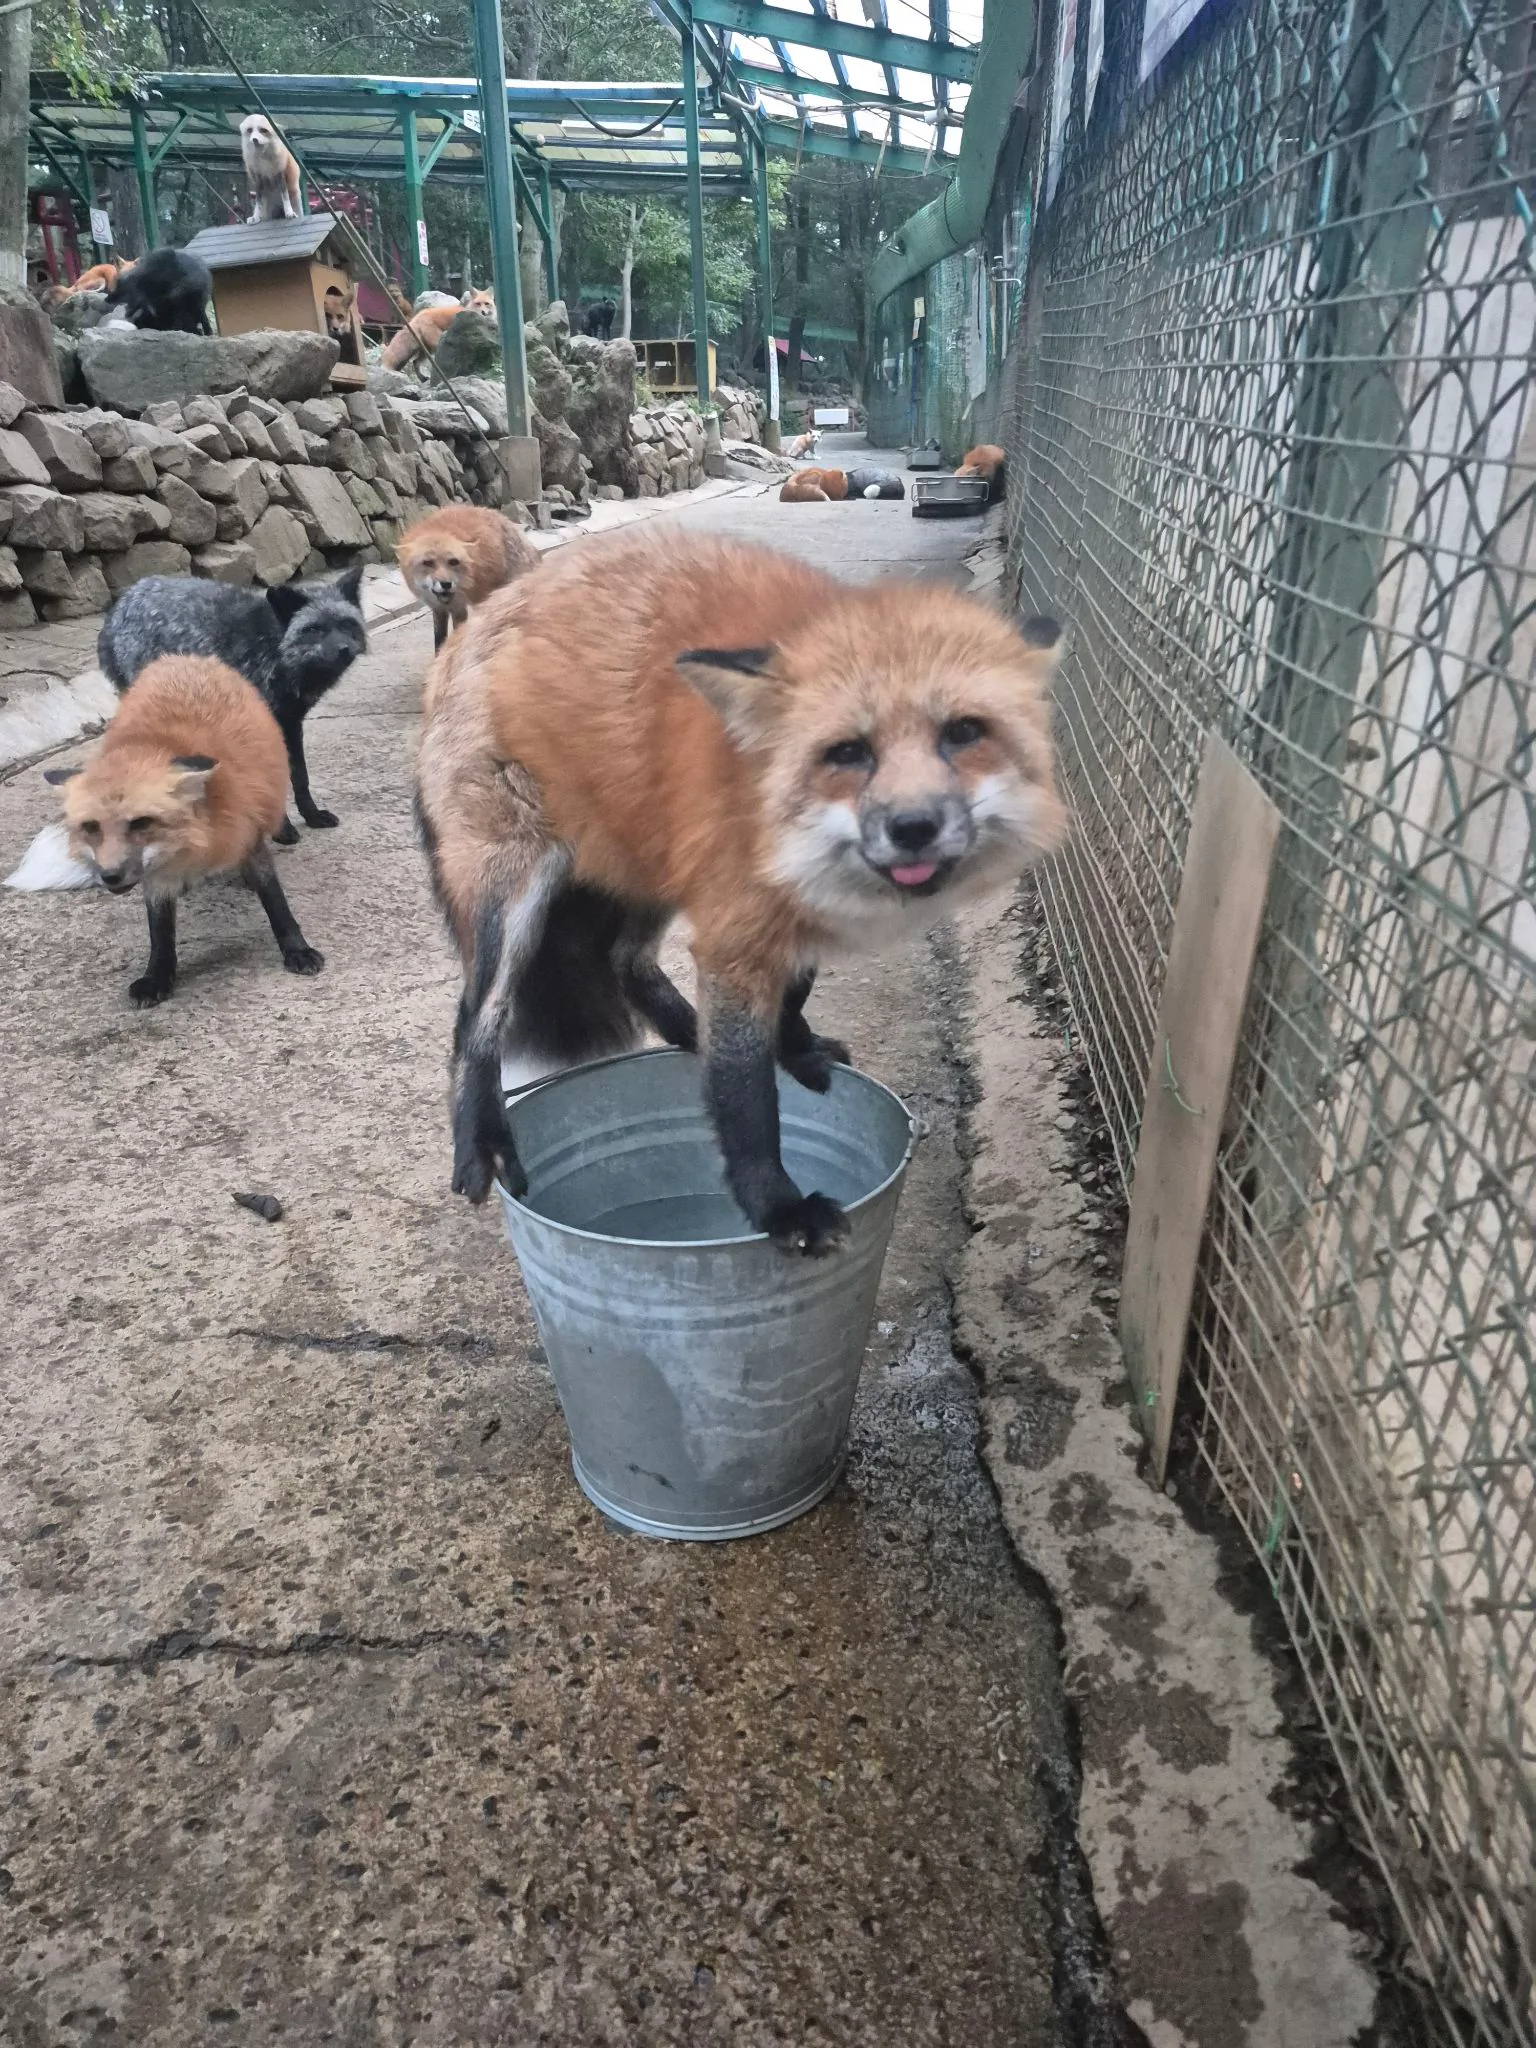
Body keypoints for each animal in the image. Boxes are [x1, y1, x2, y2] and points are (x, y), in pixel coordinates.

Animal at [38, 655, 324, 1007]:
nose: (110, 876)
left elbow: (276, 902)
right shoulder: (155, 875)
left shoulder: (247, 832)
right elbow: (160, 930)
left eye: (141, 823)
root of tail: (183, 657)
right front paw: (158, 977)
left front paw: (297, 949)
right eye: (91, 827)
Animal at [398, 506, 541, 654]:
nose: (446, 584)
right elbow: (439, 640)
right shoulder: (439, 608)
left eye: (453, 562)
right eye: (428, 563)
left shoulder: (458, 606)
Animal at [415, 529, 1066, 1252]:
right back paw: (481, 1139)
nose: (913, 828)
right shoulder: (735, 928)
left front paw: (797, 1050)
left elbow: (790, 998)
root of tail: (467, 634)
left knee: (626, 962)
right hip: (519, 891)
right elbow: (745, 1095)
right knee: (477, 1018)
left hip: (654, 859)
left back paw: (688, 1033)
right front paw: (777, 1206)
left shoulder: (776, 912)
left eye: (963, 733)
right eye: (848, 752)